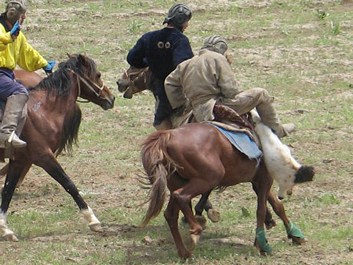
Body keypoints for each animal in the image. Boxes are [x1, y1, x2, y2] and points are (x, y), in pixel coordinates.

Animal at [0, 52, 115, 240]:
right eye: (98, 75)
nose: (111, 98)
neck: (43, 110)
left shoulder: (19, 161)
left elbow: (7, 191)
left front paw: (5, 229)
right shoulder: (44, 157)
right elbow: (69, 184)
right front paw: (92, 220)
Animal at [140, 123, 310, 258]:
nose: (288, 193)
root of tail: (167, 136)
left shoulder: (258, 181)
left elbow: (277, 206)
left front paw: (295, 235)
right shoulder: (264, 180)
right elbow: (261, 210)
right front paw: (263, 245)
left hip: (176, 181)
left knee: (170, 214)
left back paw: (184, 252)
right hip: (208, 178)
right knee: (181, 196)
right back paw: (195, 231)